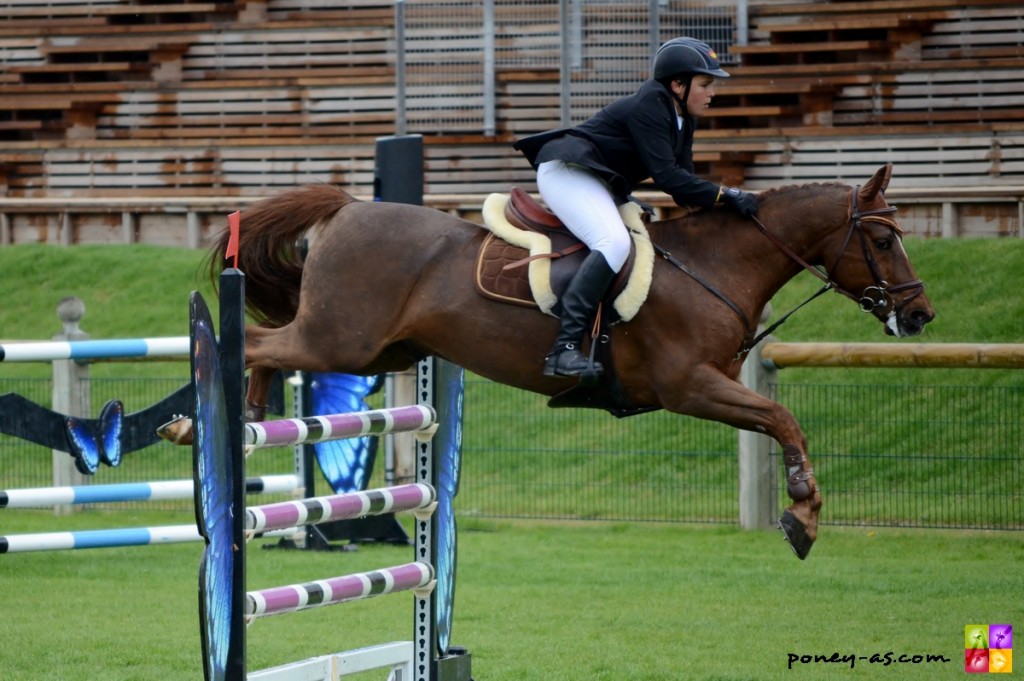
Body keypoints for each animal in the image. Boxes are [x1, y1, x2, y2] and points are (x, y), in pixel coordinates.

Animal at [207, 163, 937, 557]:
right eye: (881, 239)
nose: (920, 315)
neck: (711, 265)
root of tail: (347, 210)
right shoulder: (688, 386)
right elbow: (785, 418)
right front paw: (803, 514)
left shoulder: (712, 386)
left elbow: (781, 421)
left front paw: (804, 512)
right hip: (342, 341)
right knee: (261, 341)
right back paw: (212, 424)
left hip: (383, 350)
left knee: (267, 341)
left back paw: (248, 419)